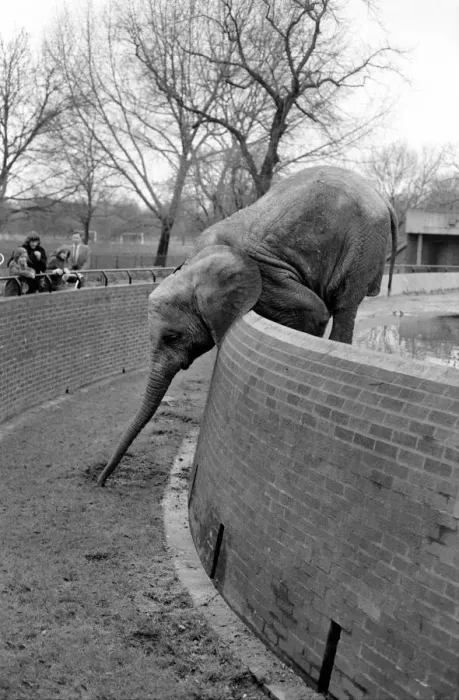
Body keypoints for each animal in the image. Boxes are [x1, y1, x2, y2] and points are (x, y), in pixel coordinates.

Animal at [97, 166, 397, 486]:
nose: (100, 482)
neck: (196, 266)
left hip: (363, 244)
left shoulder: (267, 277)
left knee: (343, 305)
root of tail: (381, 196)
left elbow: (314, 312)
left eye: (172, 337)